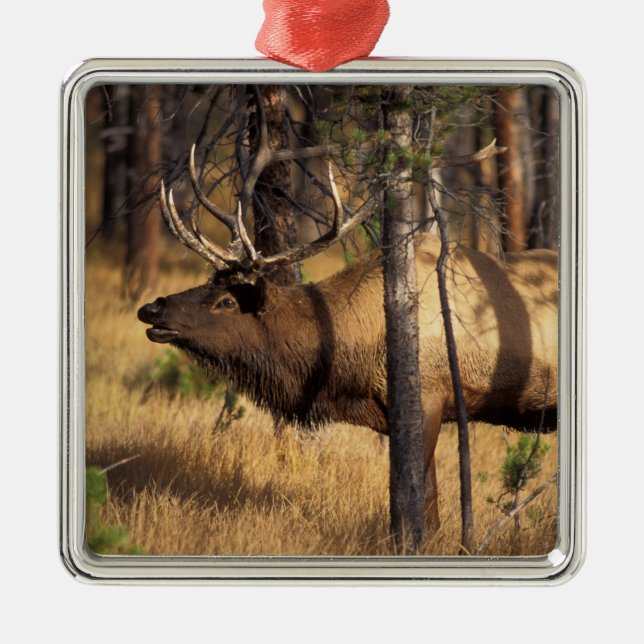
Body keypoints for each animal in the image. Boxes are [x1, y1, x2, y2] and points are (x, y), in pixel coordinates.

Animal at [137, 100, 558, 533]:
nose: (152, 307)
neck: (347, 367)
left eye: (227, 302)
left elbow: (421, 502)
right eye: (207, 281)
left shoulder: (429, 397)